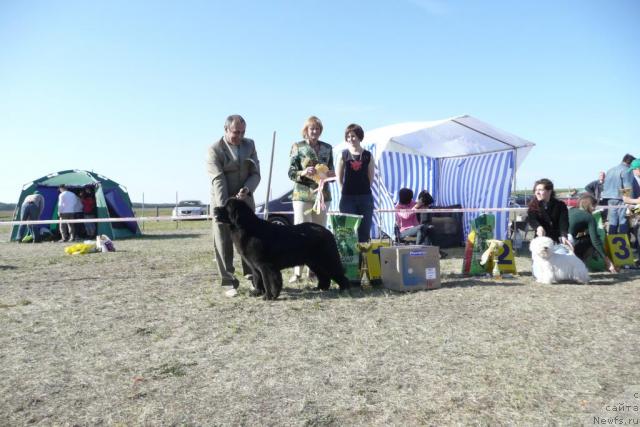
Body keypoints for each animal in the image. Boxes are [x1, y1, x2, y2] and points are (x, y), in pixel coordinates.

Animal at [212, 198, 348, 300]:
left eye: (227, 207)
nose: (214, 209)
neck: (246, 228)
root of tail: (328, 231)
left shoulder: (265, 265)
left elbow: (268, 281)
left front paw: (269, 296)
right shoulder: (254, 266)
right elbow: (257, 279)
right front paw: (257, 292)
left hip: (327, 260)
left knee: (338, 273)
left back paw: (344, 289)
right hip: (314, 262)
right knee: (324, 276)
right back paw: (320, 288)